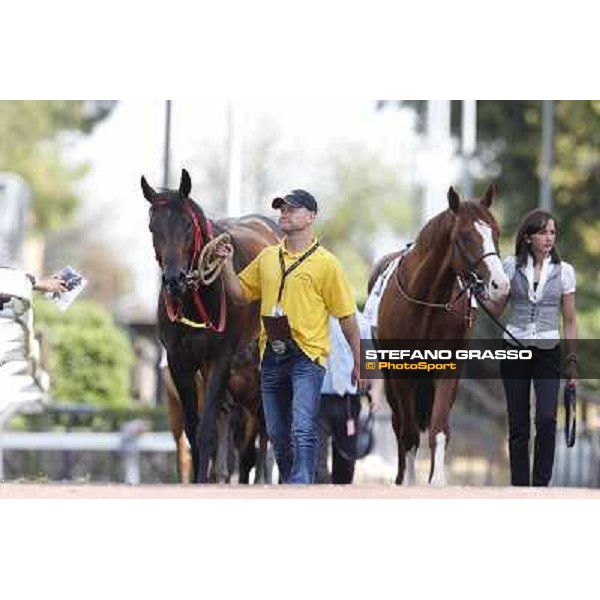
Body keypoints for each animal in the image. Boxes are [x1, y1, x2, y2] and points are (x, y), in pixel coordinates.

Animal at [143, 169, 282, 482]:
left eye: (186, 224)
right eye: (153, 227)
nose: (174, 280)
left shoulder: (220, 358)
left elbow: (208, 428)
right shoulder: (180, 362)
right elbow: (194, 429)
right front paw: (201, 476)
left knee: (266, 423)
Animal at [372, 185, 508, 486]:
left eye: (496, 232)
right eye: (465, 236)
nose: (501, 285)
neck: (426, 301)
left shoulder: (448, 368)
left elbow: (439, 427)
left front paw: (437, 481)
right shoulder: (401, 372)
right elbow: (409, 433)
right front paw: (410, 482)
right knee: (399, 424)